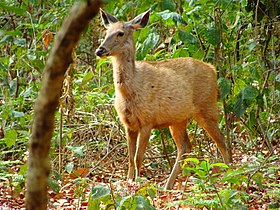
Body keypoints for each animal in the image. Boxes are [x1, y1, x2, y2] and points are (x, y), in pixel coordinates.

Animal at [95, 8, 231, 190]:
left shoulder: (147, 121)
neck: (130, 91)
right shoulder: (128, 124)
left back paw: (229, 175)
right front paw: (128, 182)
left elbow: (138, 158)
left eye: (120, 33)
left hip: (207, 107)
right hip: (178, 119)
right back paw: (168, 185)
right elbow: (130, 158)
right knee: (185, 146)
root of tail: (213, 70)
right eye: (106, 32)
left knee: (221, 140)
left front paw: (138, 184)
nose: (100, 50)